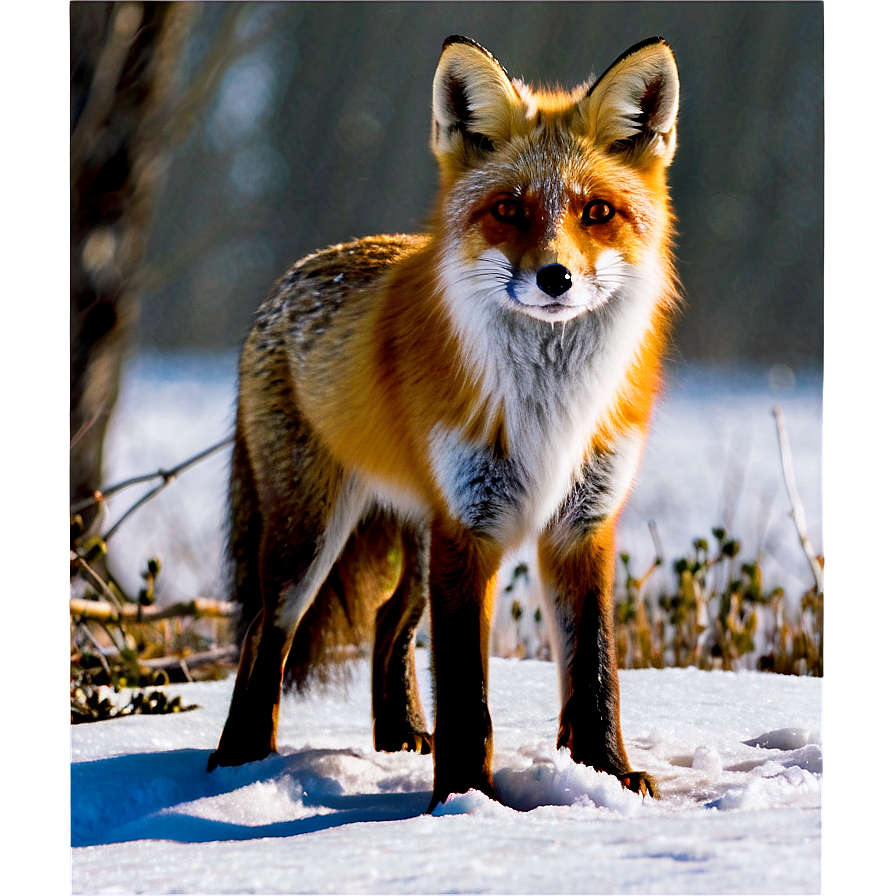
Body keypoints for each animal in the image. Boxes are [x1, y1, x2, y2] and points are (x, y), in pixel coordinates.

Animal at [208, 35, 680, 808]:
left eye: (597, 212)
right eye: (509, 209)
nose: (556, 278)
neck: (548, 405)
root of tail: (298, 271)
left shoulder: (581, 524)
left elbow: (595, 673)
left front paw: (606, 777)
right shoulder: (469, 527)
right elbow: (467, 693)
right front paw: (464, 802)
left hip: (414, 534)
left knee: (386, 620)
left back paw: (398, 735)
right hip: (311, 536)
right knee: (262, 634)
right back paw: (240, 766)